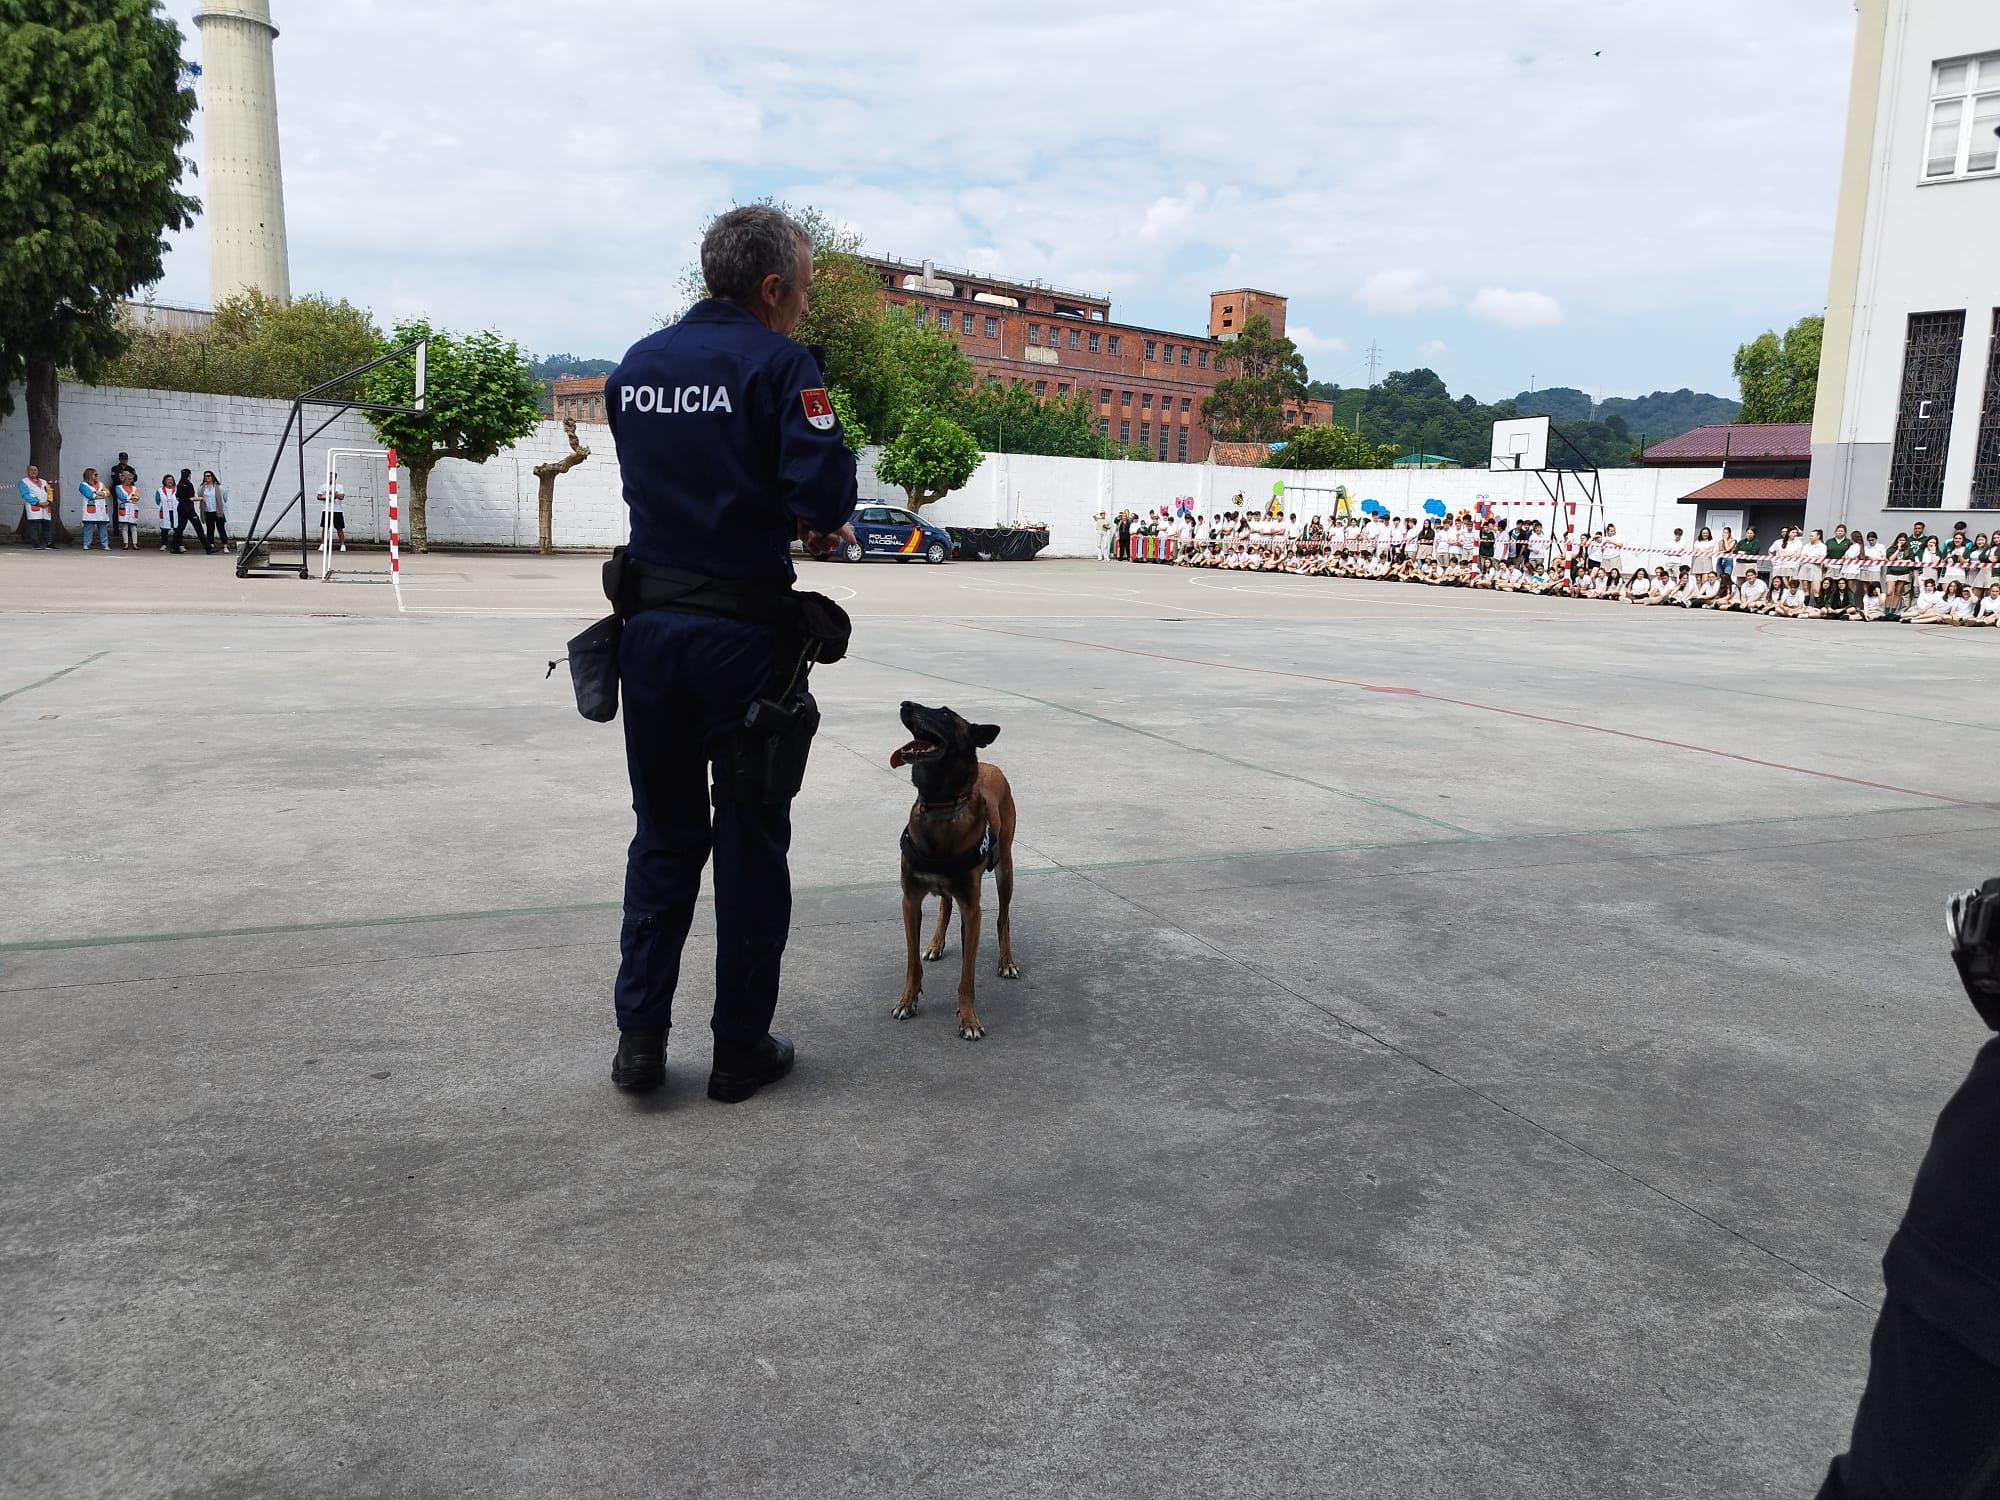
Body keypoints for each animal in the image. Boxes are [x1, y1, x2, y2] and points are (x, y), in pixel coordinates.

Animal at [892, 704, 1016, 1032]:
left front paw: (968, 1018)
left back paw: (1007, 962)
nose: (905, 704)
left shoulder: (972, 909)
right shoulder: (910, 900)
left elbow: (966, 975)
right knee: (945, 905)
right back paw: (936, 943)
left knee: (1003, 918)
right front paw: (907, 1001)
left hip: (1006, 868)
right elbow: (912, 962)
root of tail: (990, 764)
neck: (941, 806)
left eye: (945, 714)